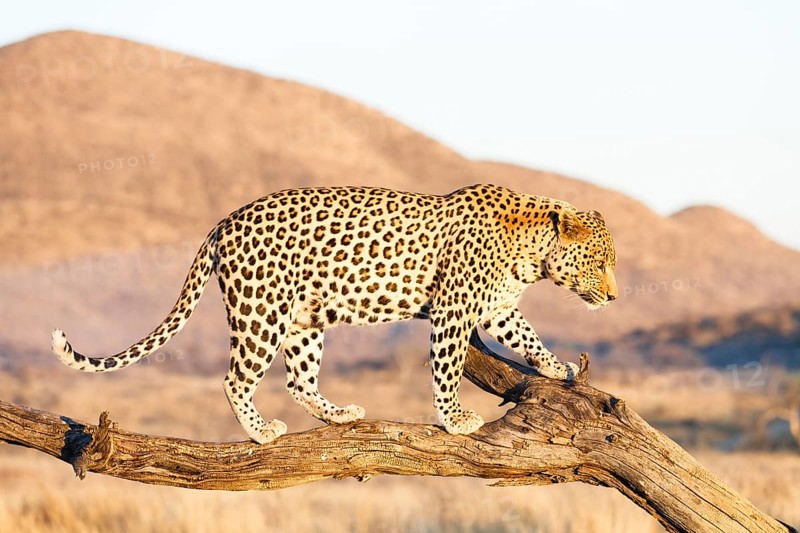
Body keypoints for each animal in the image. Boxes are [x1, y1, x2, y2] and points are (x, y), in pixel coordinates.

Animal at [51, 184, 618, 444]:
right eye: (600, 262)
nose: (614, 296)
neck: (534, 251)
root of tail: (223, 222)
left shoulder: (498, 307)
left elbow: (528, 336)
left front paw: (558, 368)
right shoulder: (454, 310)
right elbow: (447, 368)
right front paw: (455, 419)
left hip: (305, 319)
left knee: (298, 380)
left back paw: (340, 413)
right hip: (262, 311)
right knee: (236, 380)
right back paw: (260, 431)